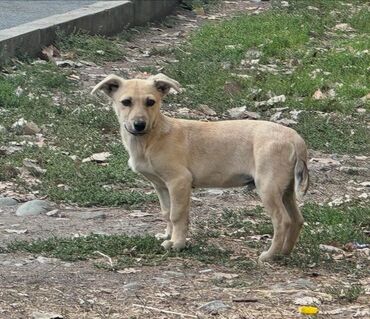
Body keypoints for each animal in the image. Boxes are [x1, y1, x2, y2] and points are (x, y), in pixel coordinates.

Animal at [92, 73, 310, 262]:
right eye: (126, 102)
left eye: (150, 102)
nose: (139, 124)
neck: (152, 137)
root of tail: (295, 138)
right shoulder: (161, 186)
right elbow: (166, 213)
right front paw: (168, 236)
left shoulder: (179, 181)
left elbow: (177, 214)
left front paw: (177, 243)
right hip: (286, 189)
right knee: (297, 219)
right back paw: (284, 253)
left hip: (267, 187)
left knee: (282, 221)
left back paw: (270, 255)